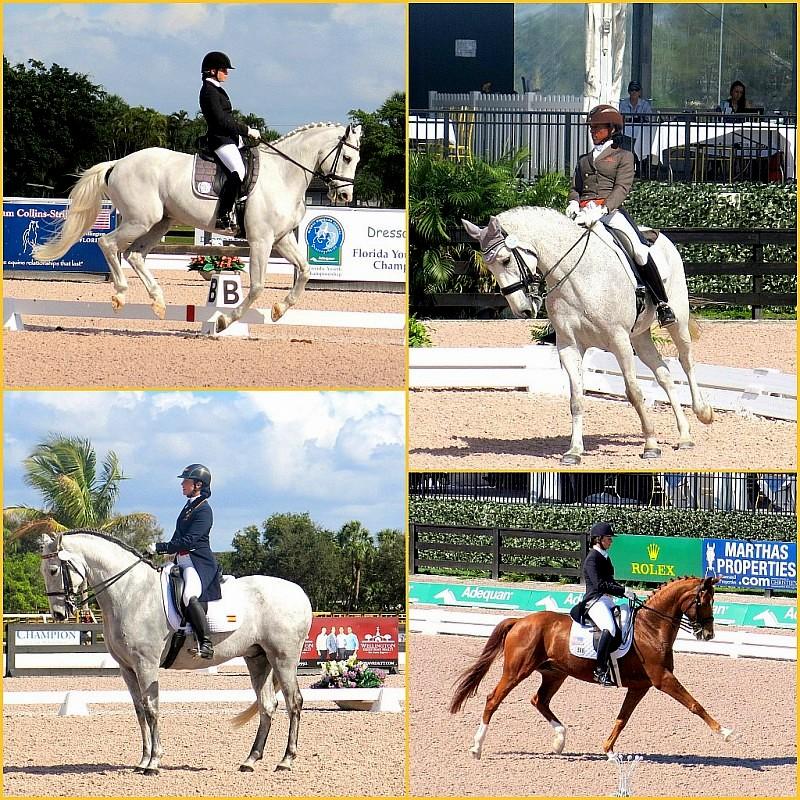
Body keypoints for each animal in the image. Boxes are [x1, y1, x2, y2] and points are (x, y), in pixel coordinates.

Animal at [32, 121, 360, 332]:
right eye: (346, 157)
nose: (345, 197)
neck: (283, 174)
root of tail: (118, 163)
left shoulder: (280, 239)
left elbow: (304, 271)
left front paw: (279, 310)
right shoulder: (261, 241)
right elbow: (256, 287)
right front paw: (224, 321)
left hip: (161, 222)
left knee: (135, 255)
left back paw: (158, 302)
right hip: (141, 219)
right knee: (108, 244)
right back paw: (121, 295)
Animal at [37, 532, 312, 776]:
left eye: (53, 570)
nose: (58, 614)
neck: (131, 593)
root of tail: (300, 593)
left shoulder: (146, 664)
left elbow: (151, 709)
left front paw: (153, 763)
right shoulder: (127, 668)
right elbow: (139, 711)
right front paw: (142, 761)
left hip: (283, 658)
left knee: (294, 702)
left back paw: (286, 761)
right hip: (258, 659)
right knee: (267, 705)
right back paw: (250, 761)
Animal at [446, 576, 736, 756]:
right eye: (704, 601)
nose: (708, 634)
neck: (651, 628)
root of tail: (520, 621)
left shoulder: (640, 686)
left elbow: (622, 718)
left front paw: (608, 749)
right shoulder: (662, 679)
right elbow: (695, 705)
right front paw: (726, 733)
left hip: (555, 674)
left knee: (539, 700)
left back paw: (560, 740)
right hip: (517, 671)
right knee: (494, 699)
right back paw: (476, 748)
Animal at [460, 208, 716, 462]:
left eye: (506, 260)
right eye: (490, 267)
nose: (522, 310)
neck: (576, 275)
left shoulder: (619, 340)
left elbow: (633, 392)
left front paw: (651, 445)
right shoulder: (569, 345)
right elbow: (576, 398)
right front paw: (574, 451)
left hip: (677, 321)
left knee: (686, 360)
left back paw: (703, 413)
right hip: (639, 337)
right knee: (663, 373)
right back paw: (684, 435)